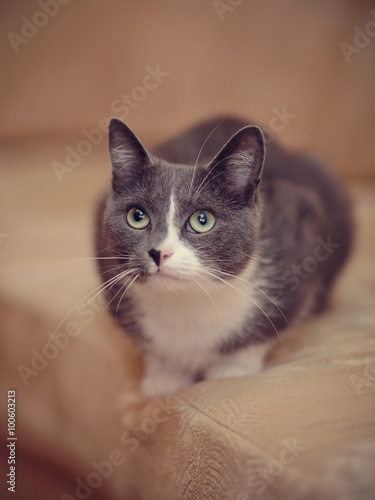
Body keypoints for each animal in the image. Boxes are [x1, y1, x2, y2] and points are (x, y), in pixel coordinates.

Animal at [95, 116, 354, 398]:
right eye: (137, 216)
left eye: (202, 220)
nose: (158, 252)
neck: (185, 303)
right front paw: (164, 376)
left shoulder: (302, 228)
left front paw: (231, 369)